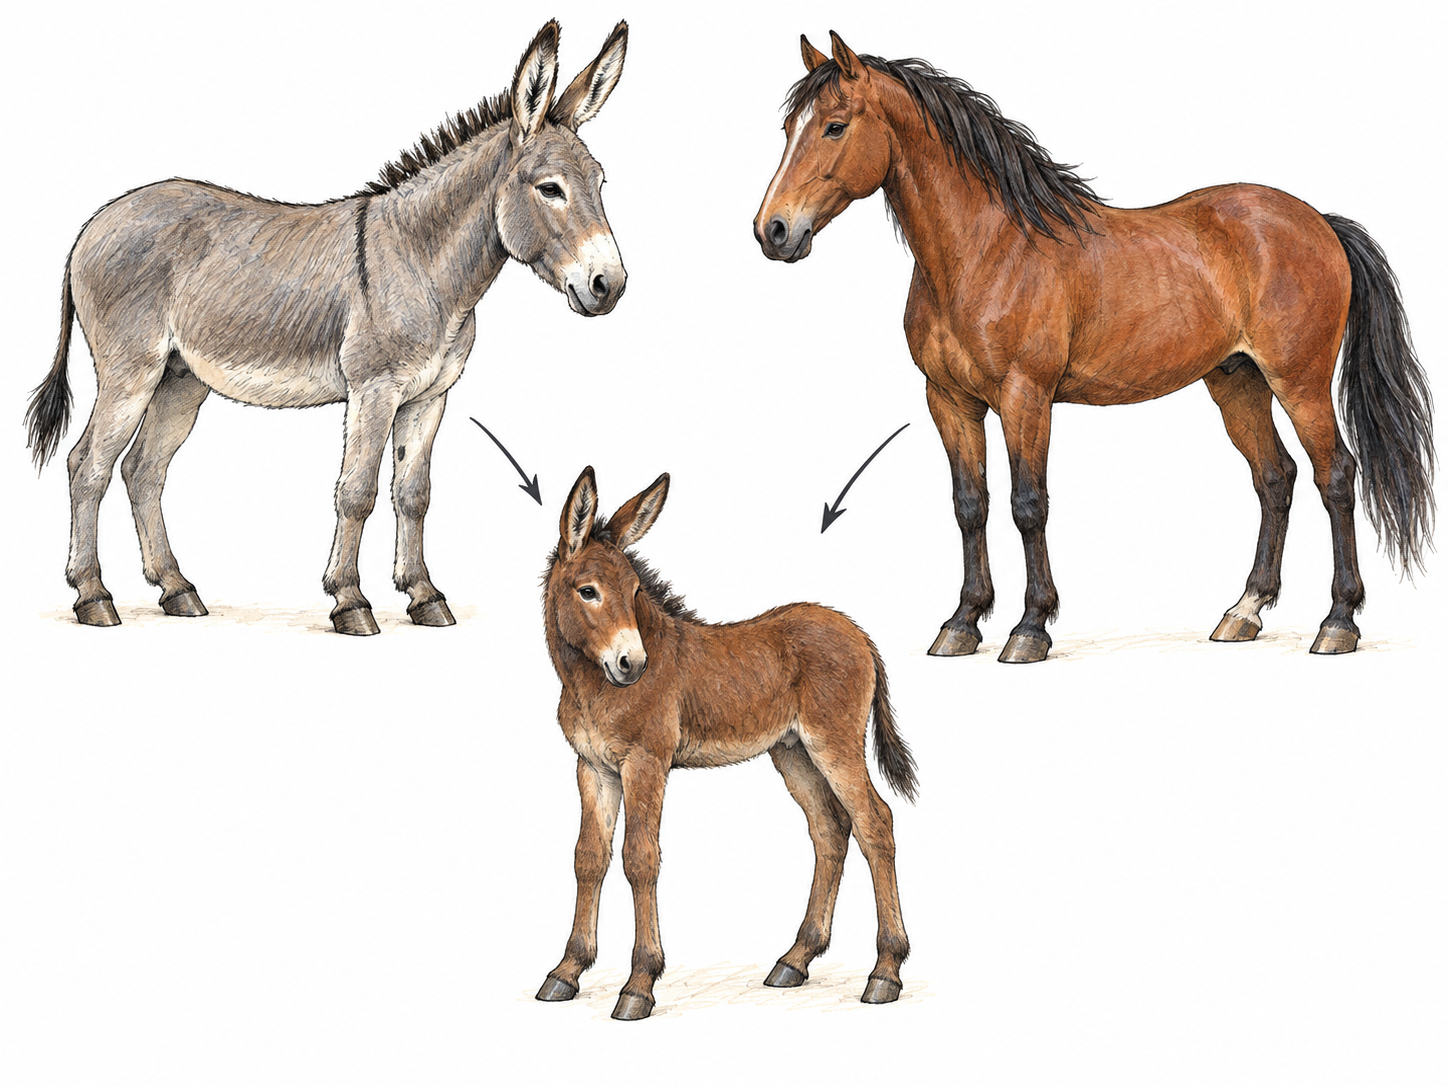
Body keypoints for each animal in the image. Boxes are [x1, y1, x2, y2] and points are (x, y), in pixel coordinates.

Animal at [25, 20, 630, 635]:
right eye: (550, 188)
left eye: (601, 182)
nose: (610, 284)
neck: (422, 262)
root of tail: (93, 224)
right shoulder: (373, 389)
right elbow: (356, 492)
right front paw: (350, 601)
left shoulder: (429, 397)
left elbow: (414, 493)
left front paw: (424, 596)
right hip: (132, 370)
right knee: (88, 465)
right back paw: (93, 597)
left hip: (180, 378)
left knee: (143, 470)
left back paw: (177, 590)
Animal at [535, 467, 917, 1020]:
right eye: (587, 591)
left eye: (634, 590)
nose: (633, 665)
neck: (593, 686)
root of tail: (858, 633)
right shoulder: (593, 767)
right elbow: (589, 858)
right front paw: (566, 972)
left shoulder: (645, 763)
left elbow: (639, 858)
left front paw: (639, 984)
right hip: (793, 752)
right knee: (830, 829)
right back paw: (795, 961)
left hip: (834, 745)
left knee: (875, 823)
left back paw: (885, 972)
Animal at [754, 32, 1434, 663]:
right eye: (789, 127)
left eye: (835, 126)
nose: (773, 231)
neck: (987, 249)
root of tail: (1319, 223)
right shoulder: (949, 400)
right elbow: (970, 505)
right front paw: (962, 623)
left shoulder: (1026, 397)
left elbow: (1027, 504)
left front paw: (1029, 628)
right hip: (1237, 382)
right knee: (1275, 478)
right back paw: (1243, 613)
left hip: (1299, 381)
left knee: (1335, 475)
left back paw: (1338, 623)